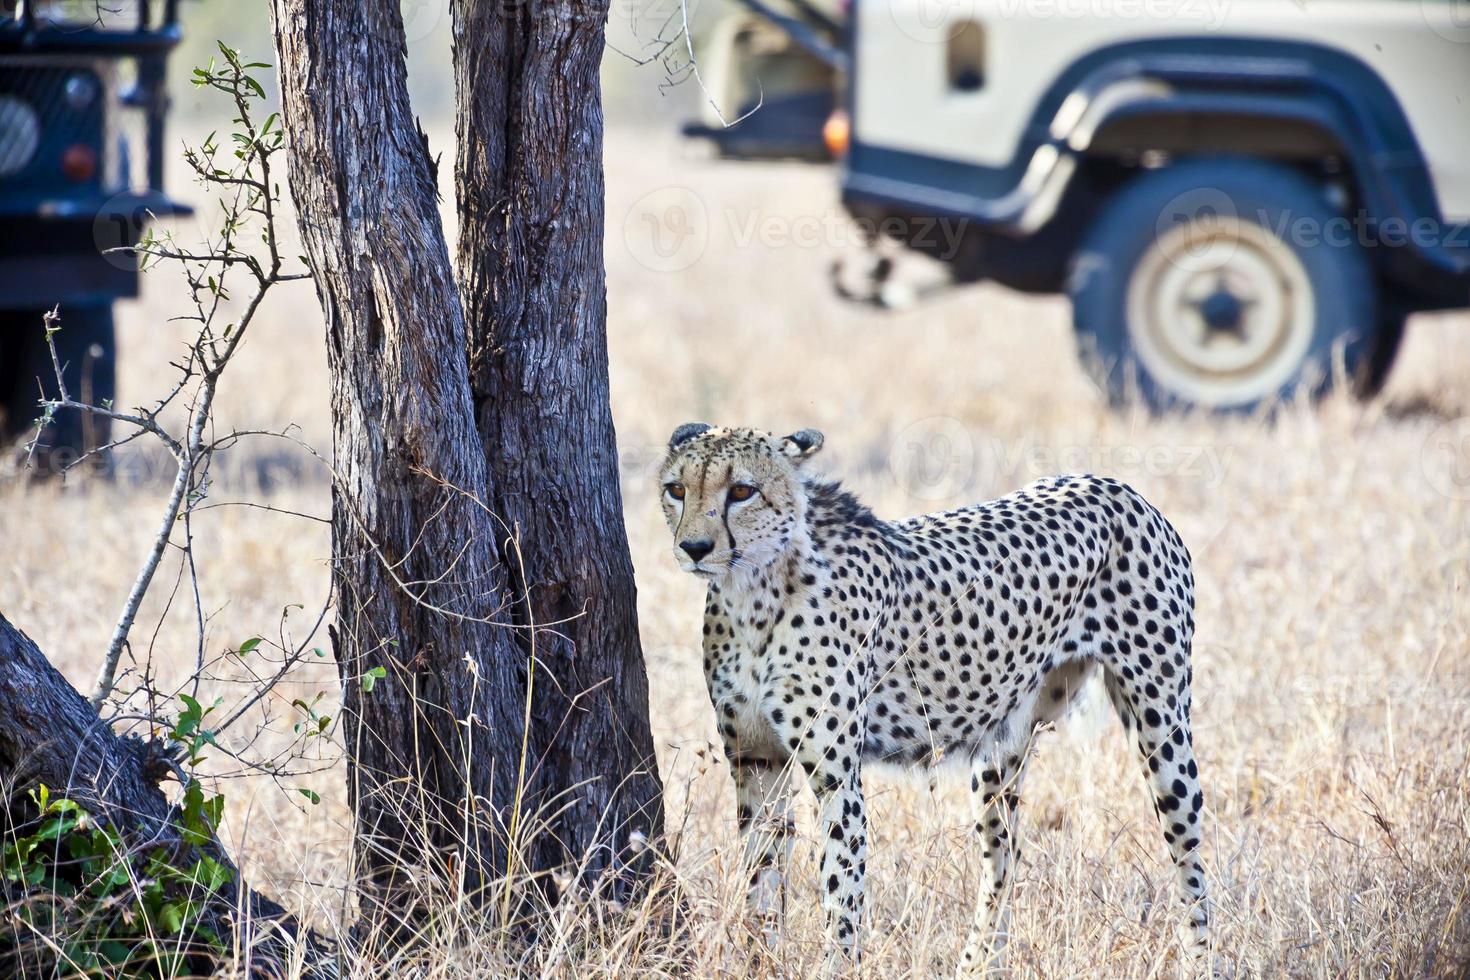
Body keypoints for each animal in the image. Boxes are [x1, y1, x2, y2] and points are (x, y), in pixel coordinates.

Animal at [661, 423, 1211, 975]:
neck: (752, 590)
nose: (693, 547)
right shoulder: (755, 760)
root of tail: (1114, 485)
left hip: (1161, 728)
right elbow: (762, 881)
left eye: (742, 491)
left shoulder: (836, 775)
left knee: (1191, 855)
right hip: (999, 754)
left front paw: (836, 965)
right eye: (677, 490)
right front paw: (761, 962)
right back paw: (978, 965)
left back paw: (1204, 960)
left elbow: (841, 891)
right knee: (1004, 859)